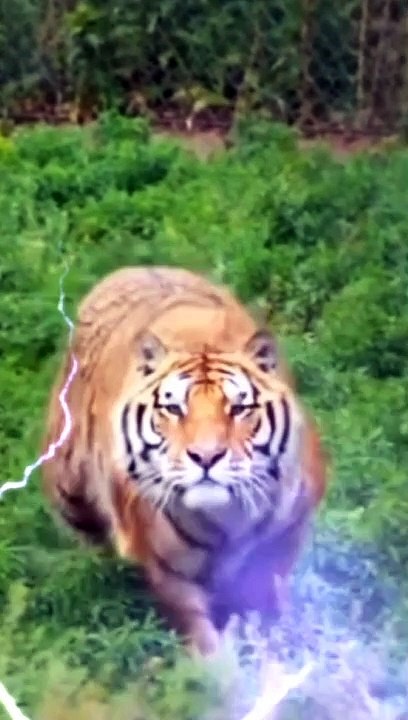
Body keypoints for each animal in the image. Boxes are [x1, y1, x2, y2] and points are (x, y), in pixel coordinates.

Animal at [42, 265, 327, 655]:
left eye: (238, 407)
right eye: (174, 408)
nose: (206, 457)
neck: (228, 518)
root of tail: (131, 269)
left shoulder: (285, 537)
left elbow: (264, 601)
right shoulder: (167, 571)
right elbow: (201, 635)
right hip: (67, 486)